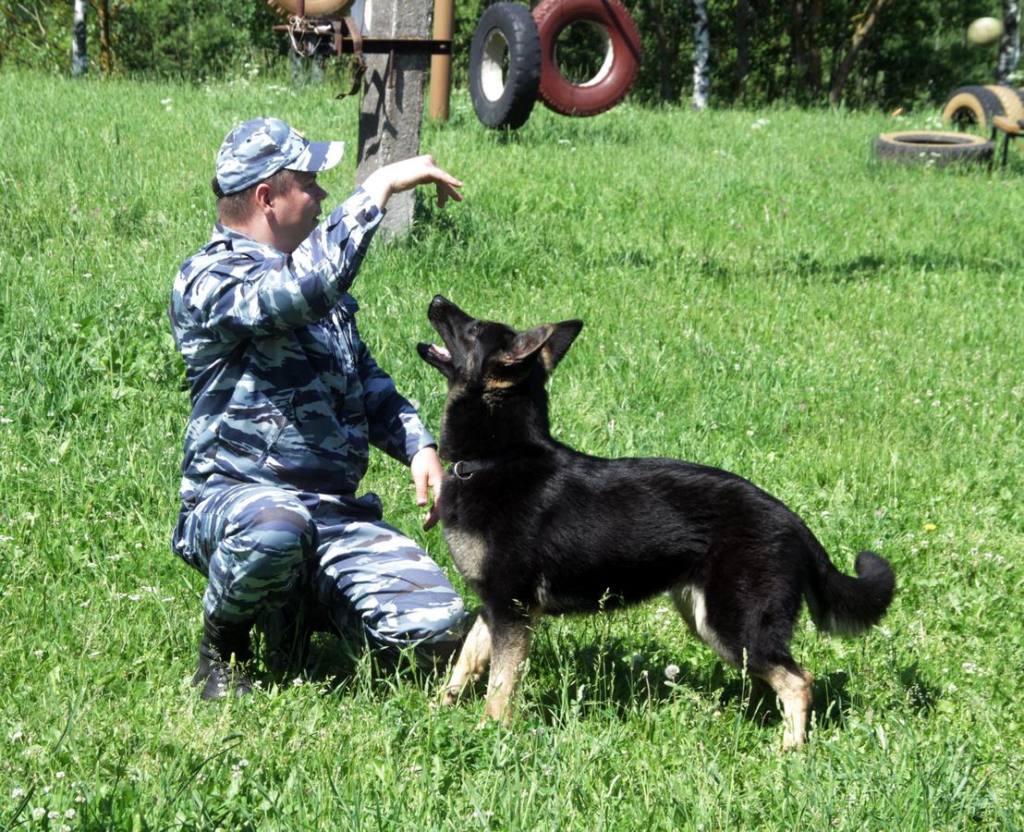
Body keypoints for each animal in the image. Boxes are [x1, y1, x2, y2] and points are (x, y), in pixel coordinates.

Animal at [415, 295, 897, 750]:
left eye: (471, 329)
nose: (437, 300)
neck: (496, 458)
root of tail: (794, 523)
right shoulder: (494, 606)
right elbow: (467, 662)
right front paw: (438, 711)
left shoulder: (513, 611)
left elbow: (501, 685)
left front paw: (489, 732)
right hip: (709, 620)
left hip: (734, 626)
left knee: (800, 681)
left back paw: (790, 748)